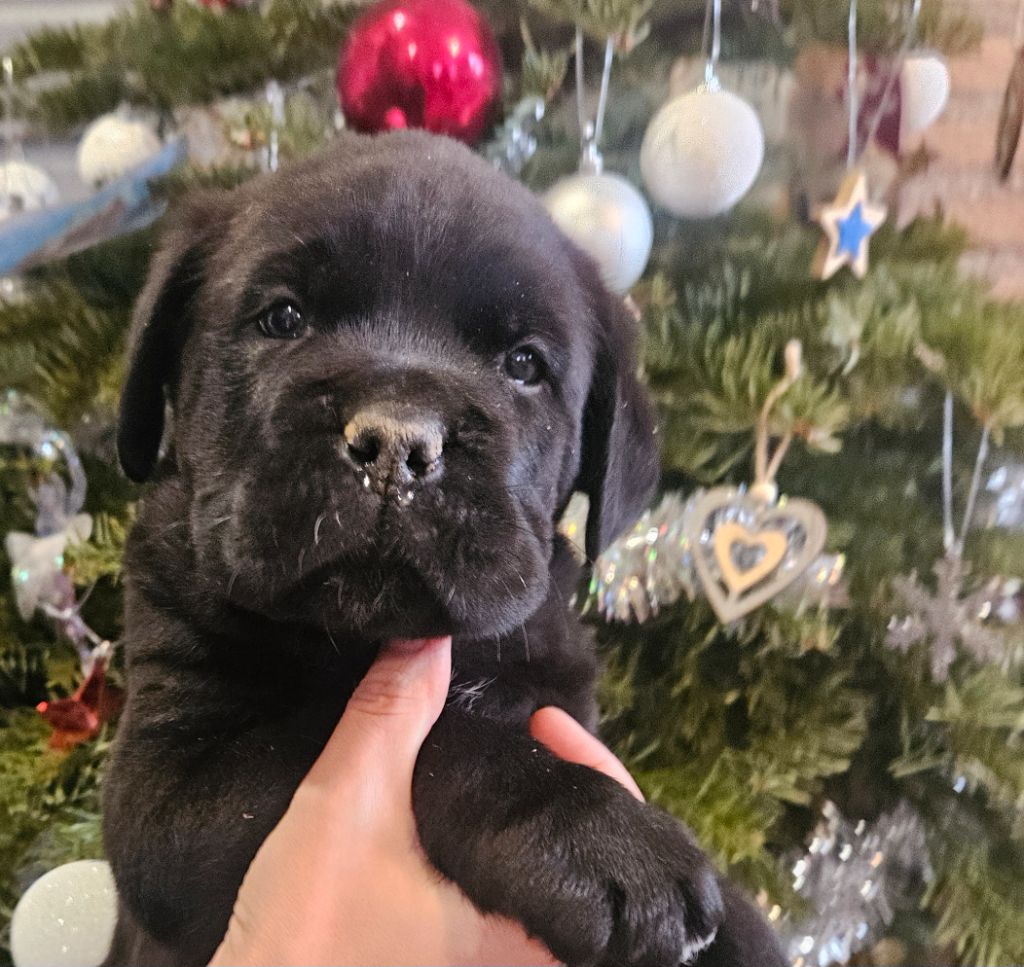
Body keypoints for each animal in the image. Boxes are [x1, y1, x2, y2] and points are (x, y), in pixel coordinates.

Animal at [101, 130, 782, 966]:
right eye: (283, 318)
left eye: (523, 364)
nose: (397, 441)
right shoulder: (165, 796)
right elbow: (436, 739)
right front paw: (600, 837)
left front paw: (740, 927)